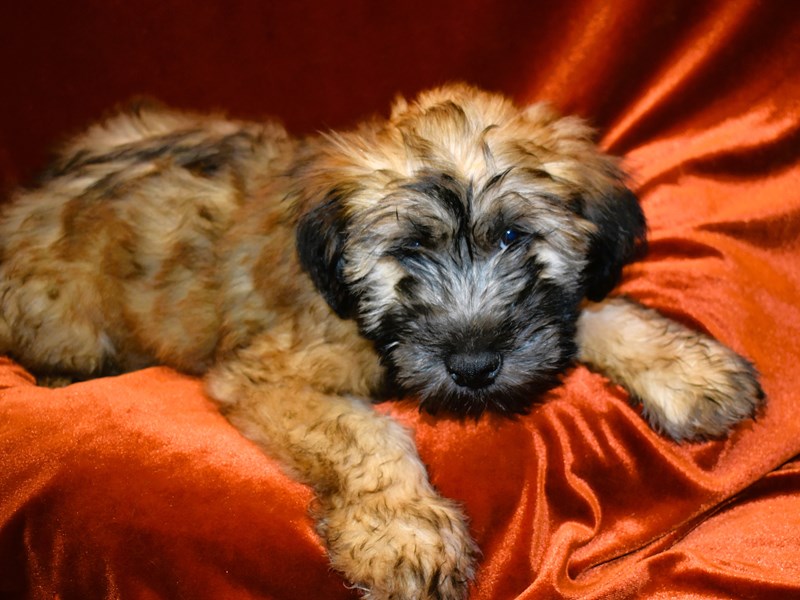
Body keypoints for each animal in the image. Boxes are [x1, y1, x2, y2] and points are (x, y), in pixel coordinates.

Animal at [0, 85, 764, 600]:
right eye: (409, 250)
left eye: (514, 237)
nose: (475, 366)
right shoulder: (269, 373)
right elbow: (363, 436)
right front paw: (405, 534)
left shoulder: (545, 314)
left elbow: (585, 310)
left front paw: (685, 368)